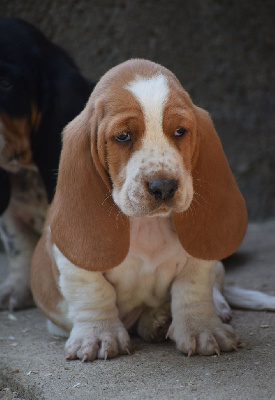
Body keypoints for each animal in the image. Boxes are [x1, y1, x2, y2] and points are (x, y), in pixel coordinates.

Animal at [30, 58, 250, 360]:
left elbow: (193, 288)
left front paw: (203, 328)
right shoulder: (72, 263)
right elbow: (93, 293)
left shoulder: (199, 258)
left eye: (180, 131)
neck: (148, 225)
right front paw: (98, 335)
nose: (163, 187)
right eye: (123, 136)